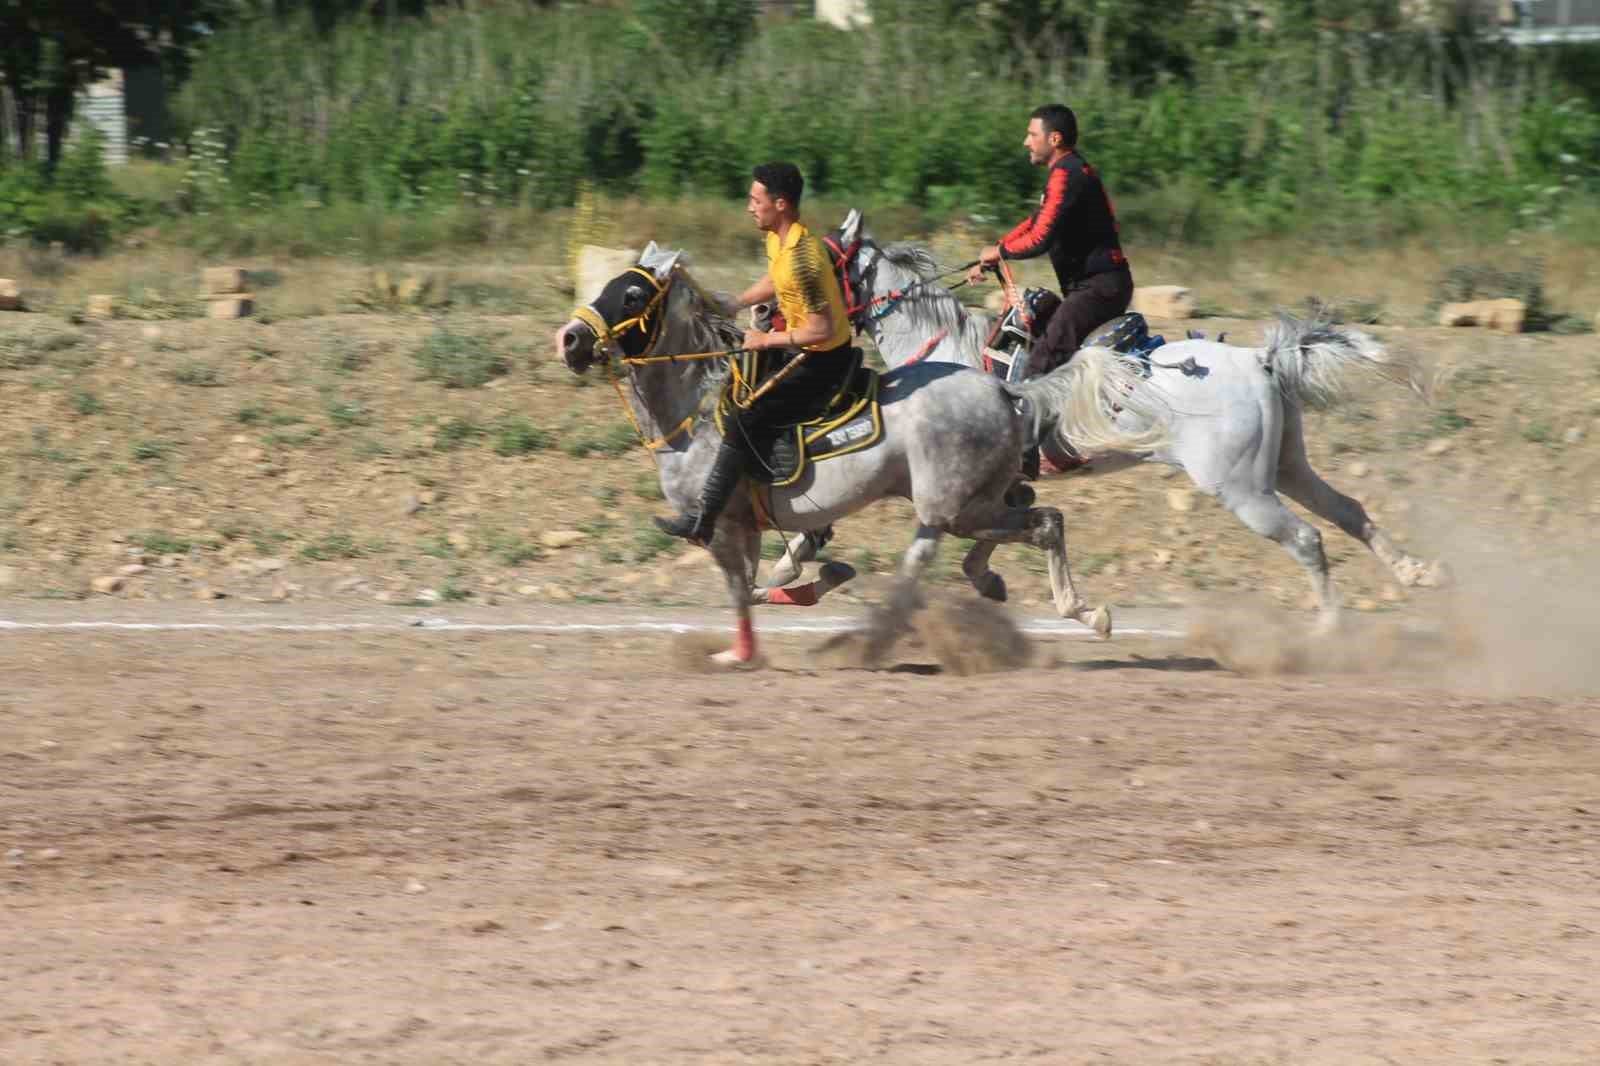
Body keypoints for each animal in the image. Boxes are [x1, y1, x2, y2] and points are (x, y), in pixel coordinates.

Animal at [553, 241, 1177, 659]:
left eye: (633, 293)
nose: (570, 338)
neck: (695, 412)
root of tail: (1005, 388)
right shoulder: (751, 527)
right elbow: (763, 582)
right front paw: (822, 579)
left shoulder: (721, 525)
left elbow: (745, 590)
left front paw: (749, 646)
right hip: (964, 501)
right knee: (1019, 526)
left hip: (953, 506)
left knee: (1032, 526)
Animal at [761, 208, 1452, 627]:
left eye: (822, 263)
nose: (768, 315)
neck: (944, 354)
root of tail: (1259, 359)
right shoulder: (999, 487)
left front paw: (790, 567)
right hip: (1285, 467)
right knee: (1348, 511)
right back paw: (1417, 571)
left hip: (1241, 487)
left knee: (1307, 538)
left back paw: (1330, 626)